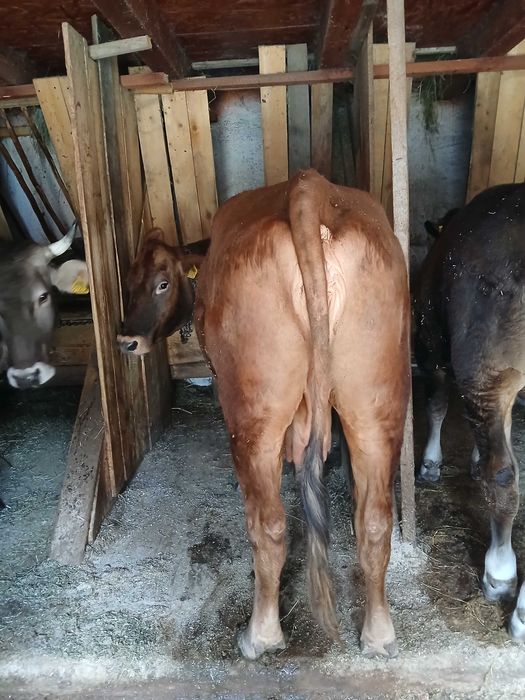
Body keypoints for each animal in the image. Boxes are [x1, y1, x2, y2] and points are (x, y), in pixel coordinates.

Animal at [119, 169, 410, 659]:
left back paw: (260, 635)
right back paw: (379, 635)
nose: (126, 340)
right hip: (375, 400)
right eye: (128, 281)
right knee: (374, 519)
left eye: (162, 283)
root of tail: (310, 189)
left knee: (269, 526)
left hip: (253, 412)